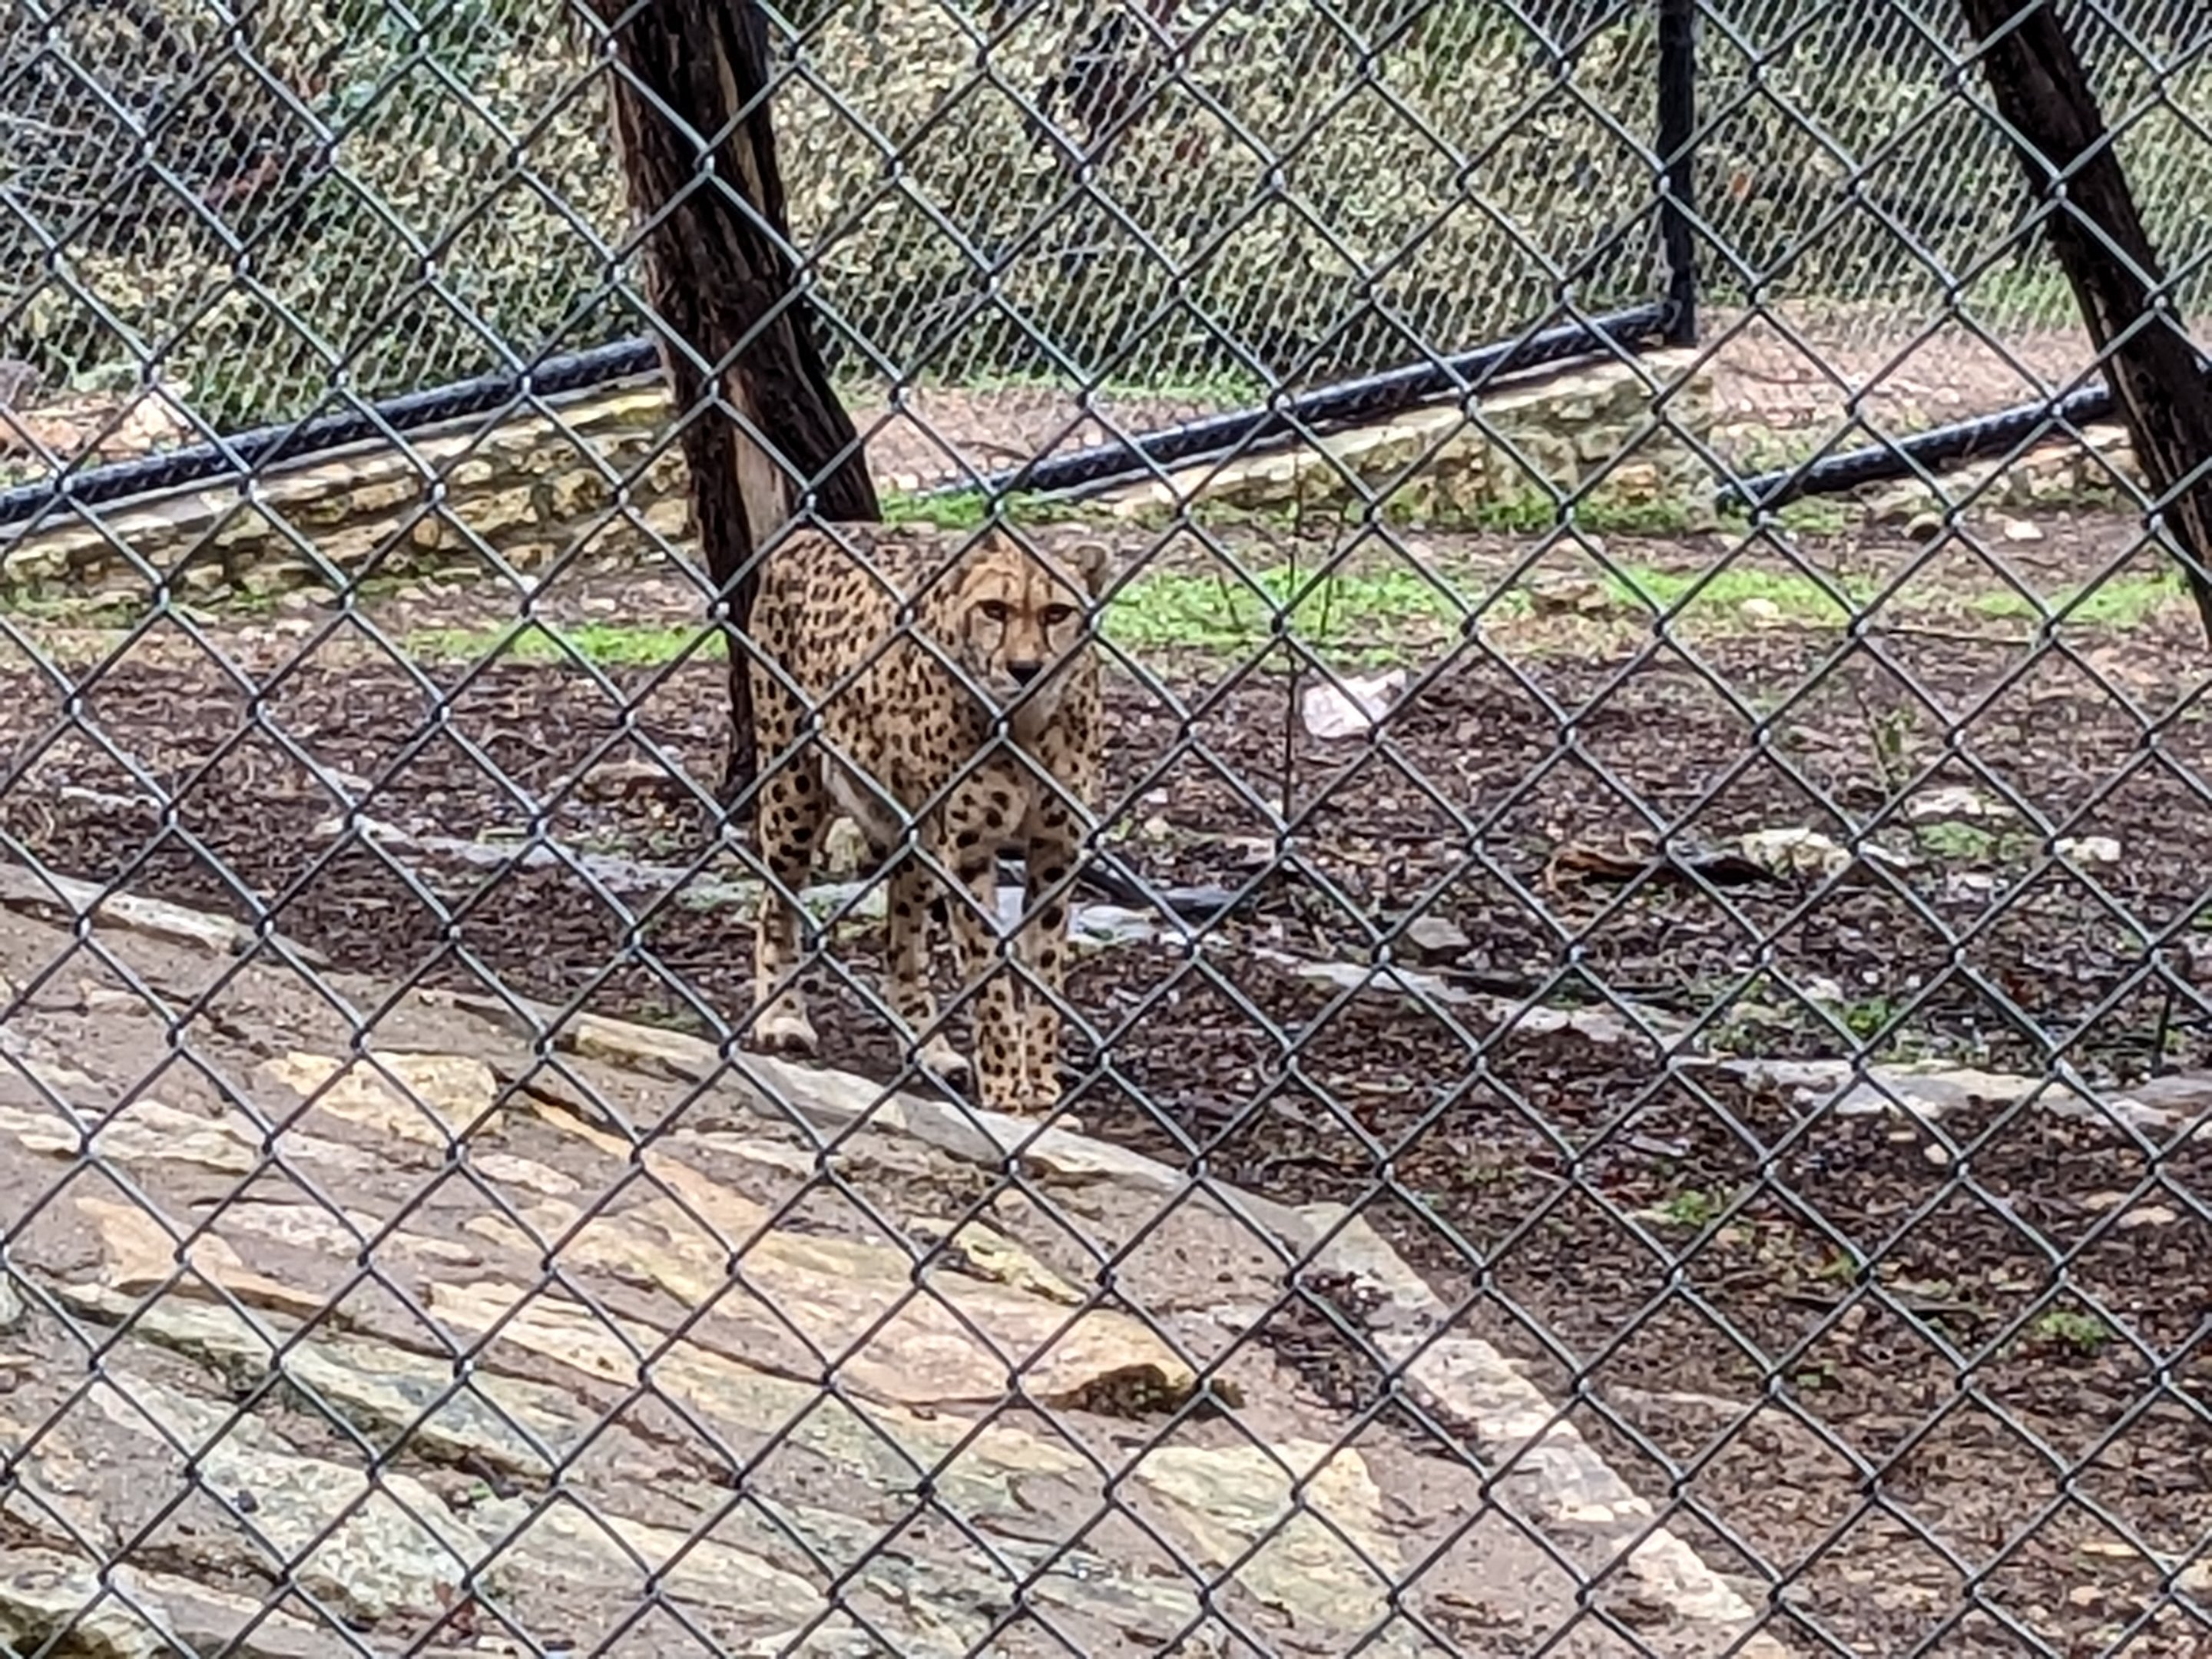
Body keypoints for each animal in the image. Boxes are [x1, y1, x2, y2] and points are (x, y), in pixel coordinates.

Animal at [742, 521, 1111, 1118]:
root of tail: (814, 531)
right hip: (794, 788)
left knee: (903, 941)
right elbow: (988, 973)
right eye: (994, 610)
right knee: (775, 903)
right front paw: (1006, 1090)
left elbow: (1045, 970)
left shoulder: (1057, 850)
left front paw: (1039, 1086)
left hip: (910, 829)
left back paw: (930, 1050)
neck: (1025, 725)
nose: (1025, 669)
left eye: (1057, 612)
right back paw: (782, 1018)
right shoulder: (968, 852)